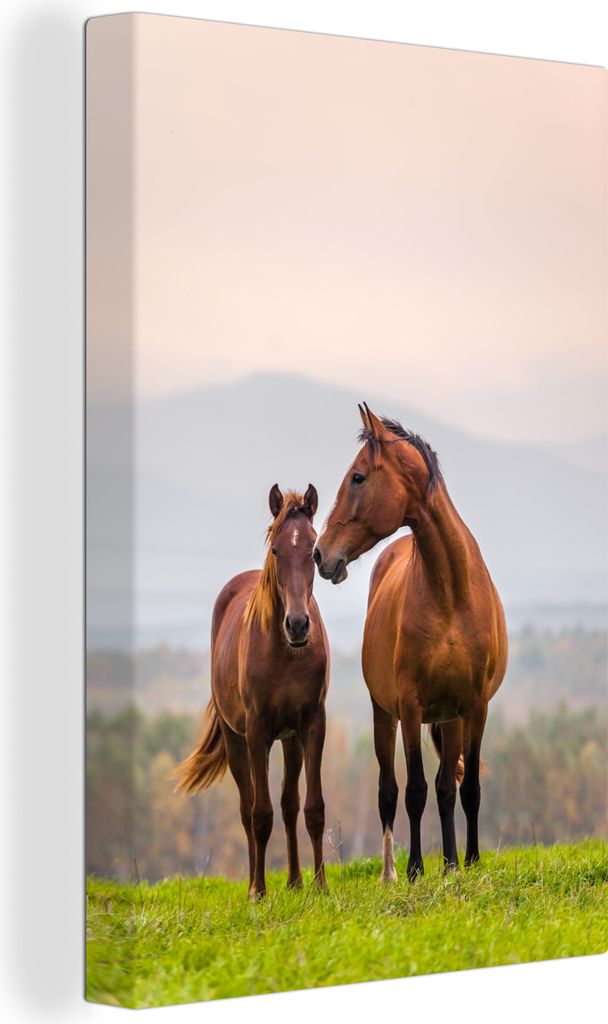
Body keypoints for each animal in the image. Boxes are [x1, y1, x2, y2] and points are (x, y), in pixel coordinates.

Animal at [175, 484, 330, 898]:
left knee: (290, 805)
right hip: (236, 741)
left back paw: (295, 881)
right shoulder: (257, 731)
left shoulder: (312, 726)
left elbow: (312, 808)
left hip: (289, 740)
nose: (297, 624)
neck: (286, 653)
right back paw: (252, 884)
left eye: (312, 549)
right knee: (247, 810)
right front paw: (259, 892)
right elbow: (260, 815)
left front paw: (321, 886)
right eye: (276, 549)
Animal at [313, 405, 507, 881]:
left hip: (450, 718)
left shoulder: (473, 706)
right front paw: (419, 868)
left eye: (358, 477)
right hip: (385, 716)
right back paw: (390, 873)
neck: (451, 593)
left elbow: (464, 788)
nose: (320, 554)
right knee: (389, 790)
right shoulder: (410, 705)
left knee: (447, 786)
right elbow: (414, 789)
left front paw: (464, 863)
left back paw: (450, 861)